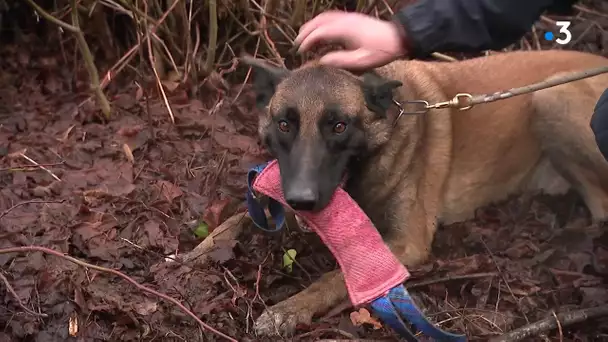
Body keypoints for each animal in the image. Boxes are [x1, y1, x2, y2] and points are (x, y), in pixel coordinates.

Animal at [240, 49, 608, 336]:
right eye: (285, 124)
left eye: (339, 126)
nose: (300, 200)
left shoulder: (406, 244)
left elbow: (336, 277)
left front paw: (290, 308)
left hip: (551, 97)